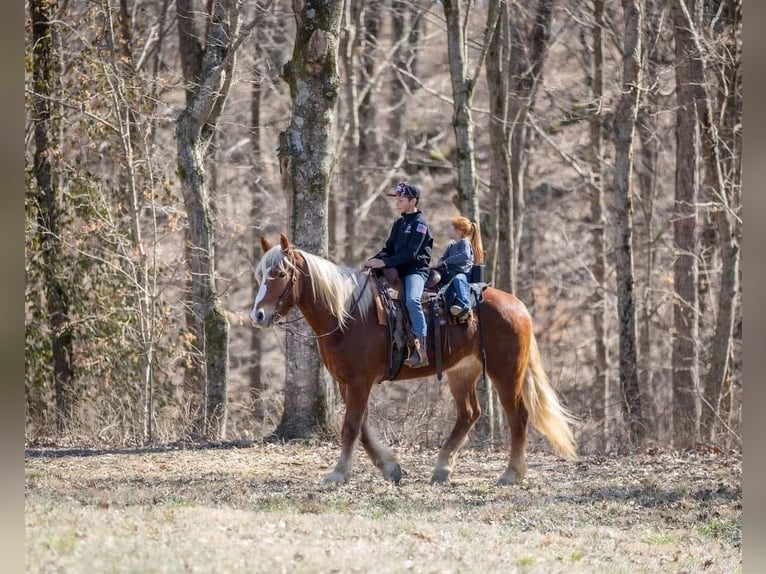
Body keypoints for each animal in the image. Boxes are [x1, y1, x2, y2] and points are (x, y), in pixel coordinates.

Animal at [249, 234, 580, 486]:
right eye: (260, 275)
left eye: (280, 274)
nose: (258, 315)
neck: (348, 314)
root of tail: (518, 306)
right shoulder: (347, 382)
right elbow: (363, 426)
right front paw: (390, 468)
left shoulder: (359, 381)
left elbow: (351, 426)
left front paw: (339, 473)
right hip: (462, 372)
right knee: (469, 413)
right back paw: (443, 468)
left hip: (506, 373)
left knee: (518, 416)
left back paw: (511, 474)